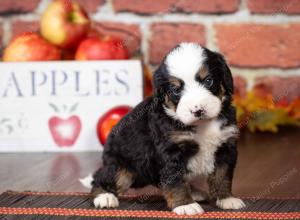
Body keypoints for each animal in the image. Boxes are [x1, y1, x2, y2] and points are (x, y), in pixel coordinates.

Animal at [81, 42, 245, 215]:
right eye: (176, 90)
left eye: (208, 81)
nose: (198, 110)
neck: (202, 125)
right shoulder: (170, 151)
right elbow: (175, 181)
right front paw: (185, 205)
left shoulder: (225, 146)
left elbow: (222, 175)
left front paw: (227, 199)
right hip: (121, 167)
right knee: (101, 178)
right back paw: (104, 196)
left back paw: (195, 192)